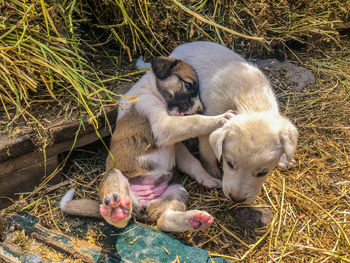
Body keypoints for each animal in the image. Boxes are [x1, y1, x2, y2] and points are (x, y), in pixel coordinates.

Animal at [60, 56, 232, 232]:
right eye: (189, 85)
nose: (200, 108)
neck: (151, 90)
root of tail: (142, 203)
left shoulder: (175, 147)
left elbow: (193, 163)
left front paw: (208, 179)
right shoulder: (163, 127)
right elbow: (194, 121)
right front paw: (221, 118)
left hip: (177, 190)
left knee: (162, 221)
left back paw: (194, 219)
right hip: (114, 175)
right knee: (119, 218)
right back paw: (117, 210)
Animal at [137, 42, 298, 204]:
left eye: (263, 172)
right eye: (229, 163)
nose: (236, 199)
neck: (252, 101)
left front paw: (284, 159)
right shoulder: (207, 132)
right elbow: (208, 155)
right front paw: (213, 172)